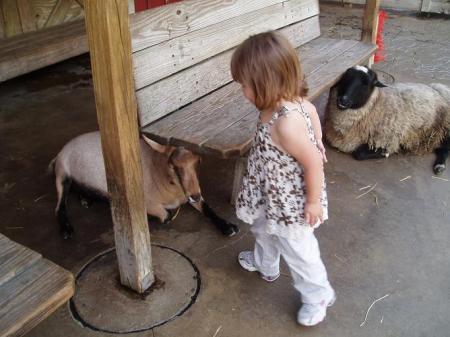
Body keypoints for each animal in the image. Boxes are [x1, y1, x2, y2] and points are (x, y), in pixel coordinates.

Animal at [48, 131, 239, 239]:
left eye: (198, 162)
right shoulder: (146, 202)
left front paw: (228, 226)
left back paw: (86, 199)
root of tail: (59, 154)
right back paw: (66, 230)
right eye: (175, 165)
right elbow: (167, 216)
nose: (194, 195)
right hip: (62, 174)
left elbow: (207, 207)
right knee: (59, 205)